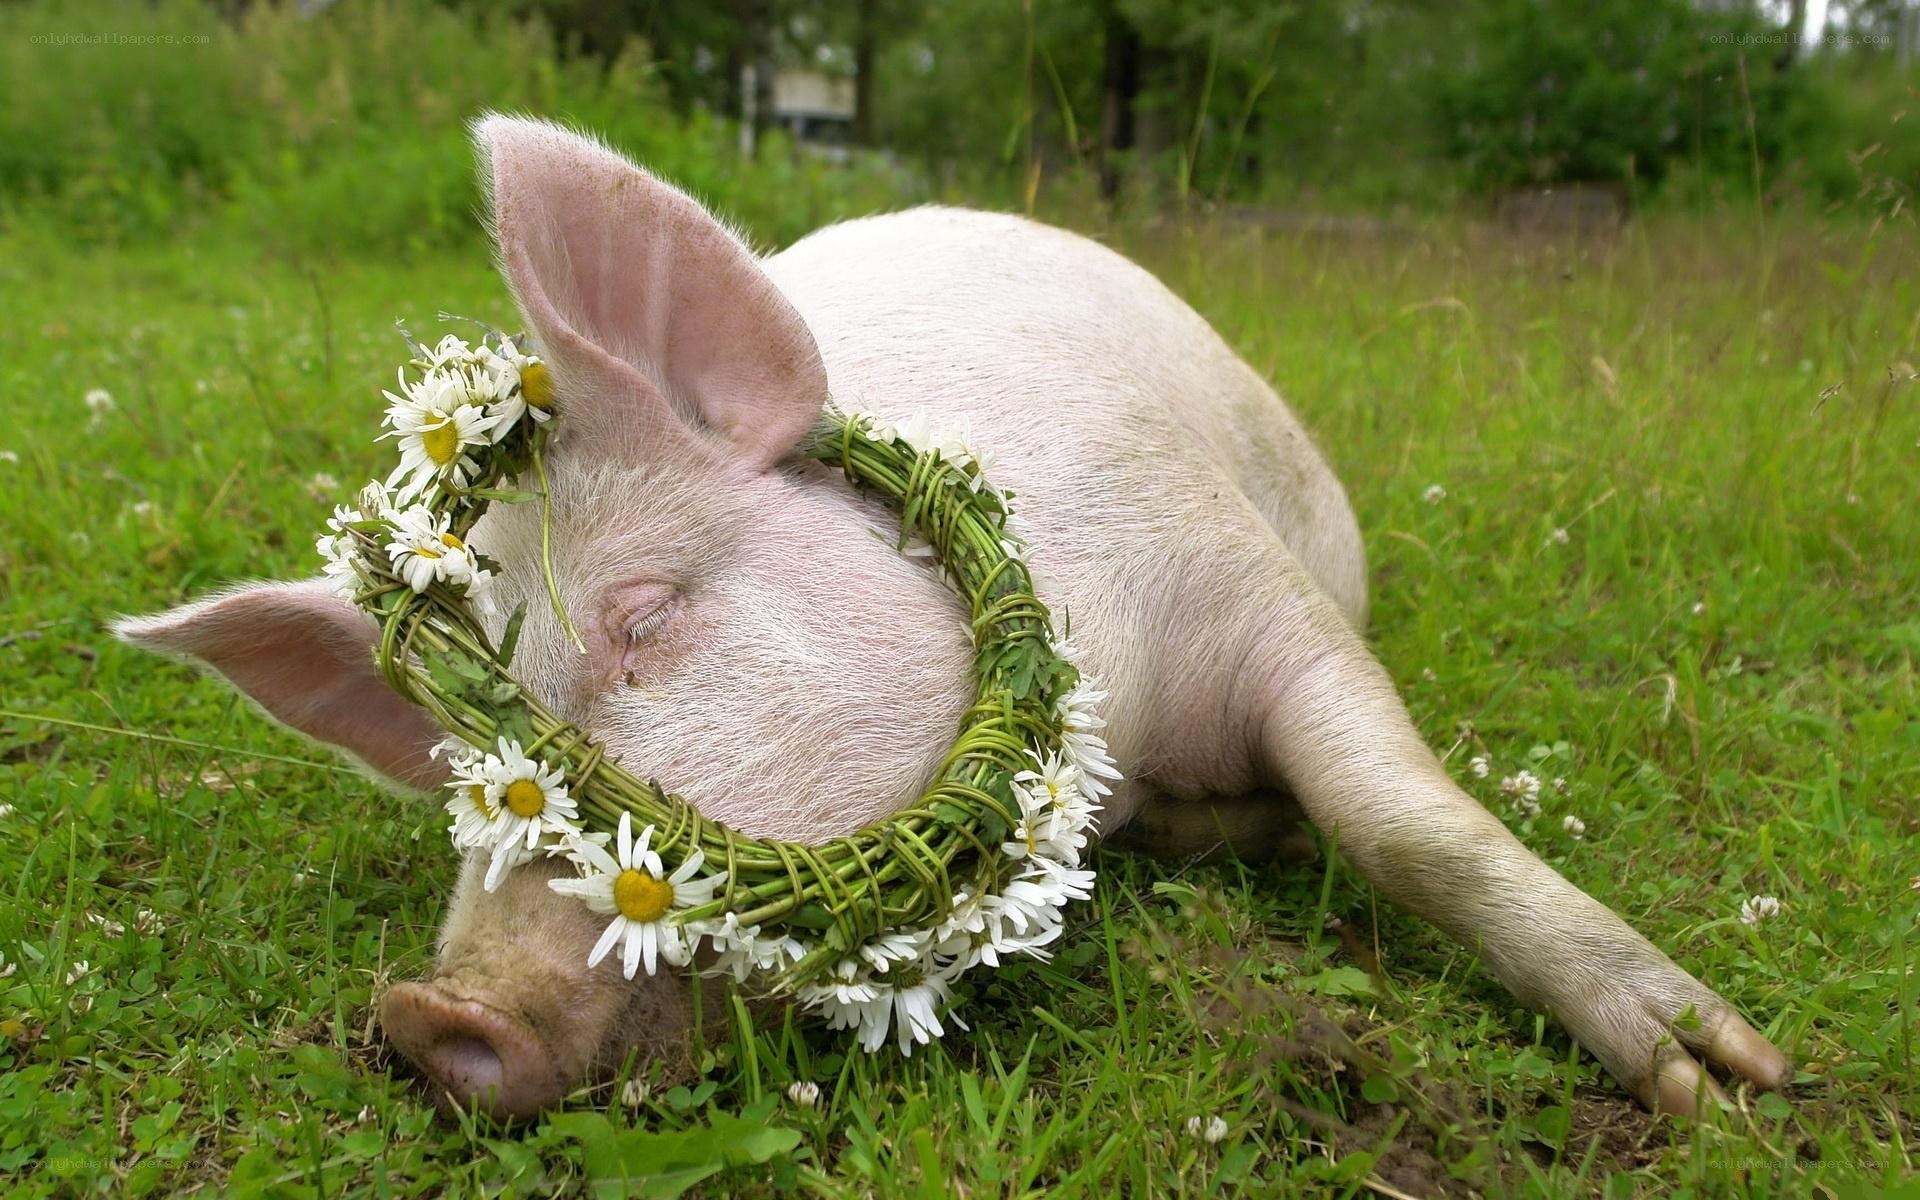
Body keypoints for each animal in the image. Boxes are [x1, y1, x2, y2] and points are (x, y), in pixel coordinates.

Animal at [115, 115, 1790, 1120]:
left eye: (643, 616)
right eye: (470, 765)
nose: (425, 1013)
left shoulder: (1247, 574)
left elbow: (1408, 826)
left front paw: (1727, 1085)